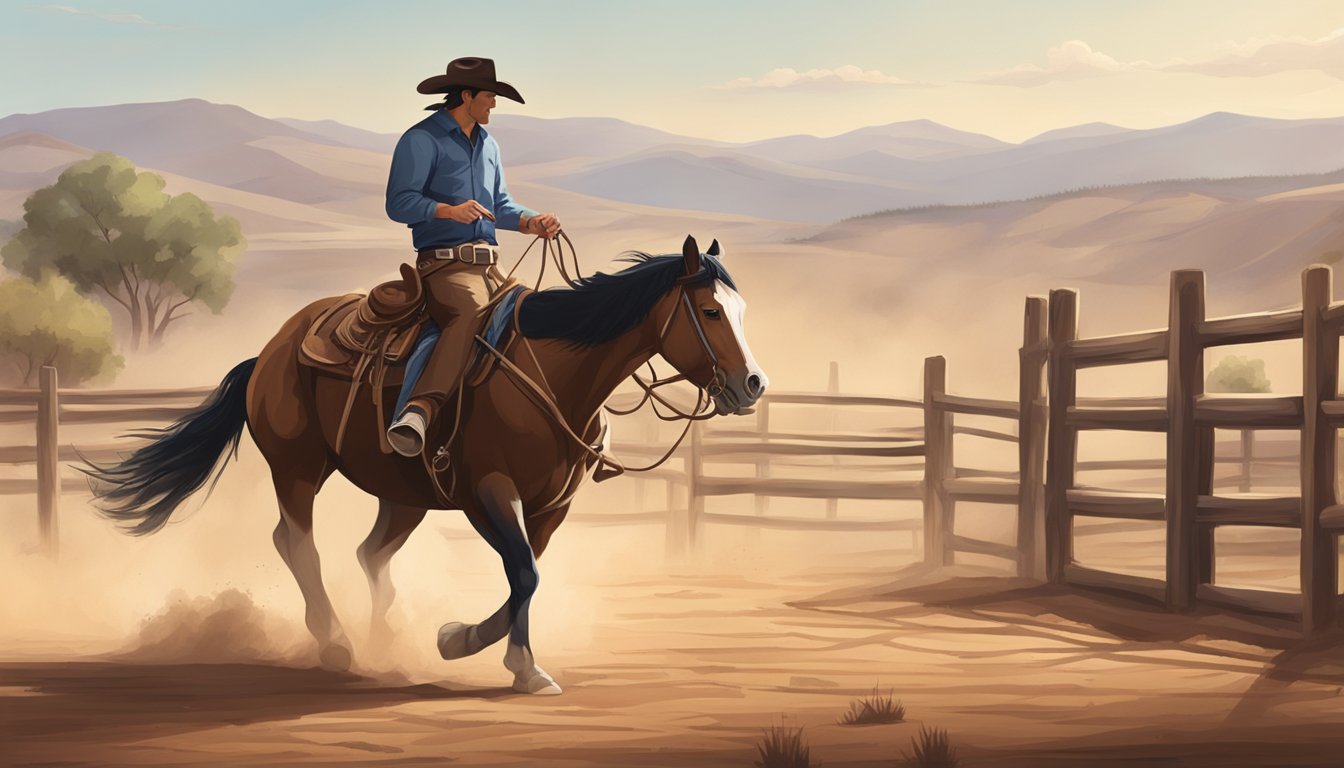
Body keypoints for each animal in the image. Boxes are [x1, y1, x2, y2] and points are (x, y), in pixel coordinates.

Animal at [89, 234, 768, 699]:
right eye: (710, 312)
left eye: (741, 310)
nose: (753, 384)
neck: (555, 372)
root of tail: (271, 349)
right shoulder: (487, 492)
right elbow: (523, 574)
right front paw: (479, 649)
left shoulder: (551, 507)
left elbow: (527, 575)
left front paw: (489, 652)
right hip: (299, 469)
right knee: (297, 542)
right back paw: (335, 643)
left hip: (405, 493)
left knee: (370, 554)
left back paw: (383, 642)